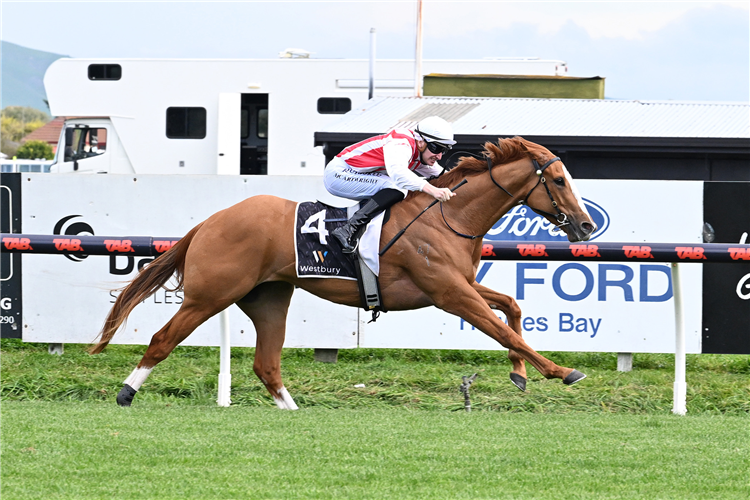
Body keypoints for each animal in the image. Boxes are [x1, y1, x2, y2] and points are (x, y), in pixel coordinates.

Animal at [92, 135, 600, 408]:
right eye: (559, 180)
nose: (586, 226)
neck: (447, 215)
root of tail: (211, 221)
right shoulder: (449, 293)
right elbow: (504, 330)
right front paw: (561, 371)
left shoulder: (462, 284)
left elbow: (512, 308)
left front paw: (520, 373)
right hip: (209, 295)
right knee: (162, 339)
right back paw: (125, 393)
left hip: (268, 298)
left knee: (266, 363)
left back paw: (294, 410)